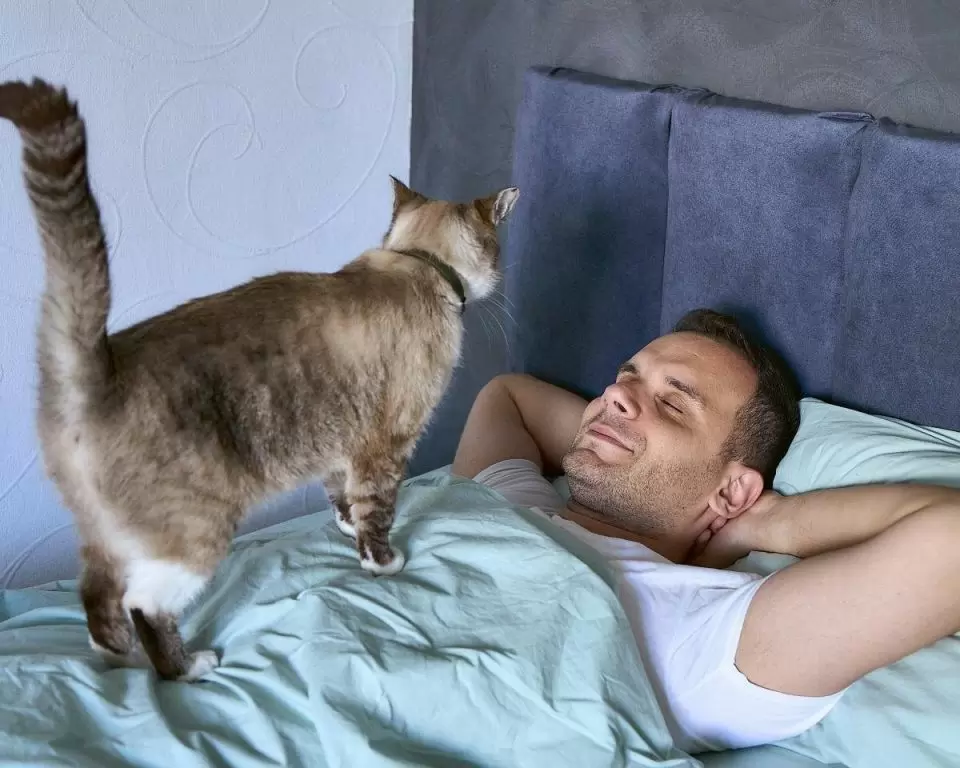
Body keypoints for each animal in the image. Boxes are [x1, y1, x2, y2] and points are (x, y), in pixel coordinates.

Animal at [0, 78, 519, 681]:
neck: (416, 262)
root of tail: (97, 365)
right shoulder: (385, 447)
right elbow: (378, 513)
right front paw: (383, 563)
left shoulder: (341, 446)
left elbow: (343, 498)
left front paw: (345, 529)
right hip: (196, 533)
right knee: (143, 604)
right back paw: (188, 668)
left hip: (105, 536)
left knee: (97, 599)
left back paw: (116, 663)